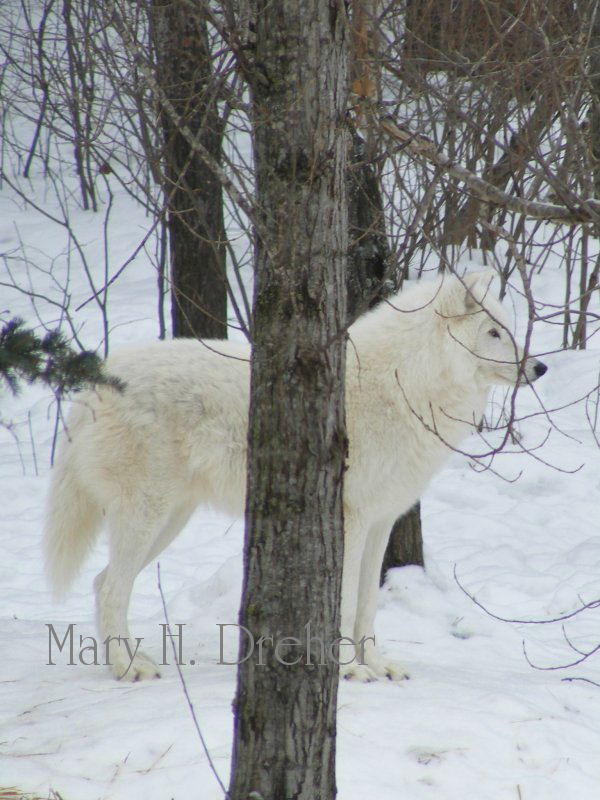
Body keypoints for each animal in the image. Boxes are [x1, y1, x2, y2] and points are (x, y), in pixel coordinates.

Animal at [44, 270, 548, 680]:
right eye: (494, 332)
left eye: (507, 328)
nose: (539, 367)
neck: (406, 386)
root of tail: (97, 379)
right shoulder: (352, 520)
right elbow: (345, 605)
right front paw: (347, 671)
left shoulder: (382, 521)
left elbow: (367, 607)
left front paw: (378, 665)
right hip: (148, 515)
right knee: (112, 586)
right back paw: (128, 668)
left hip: (170, 521)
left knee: (101, 583)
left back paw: (129, 660)